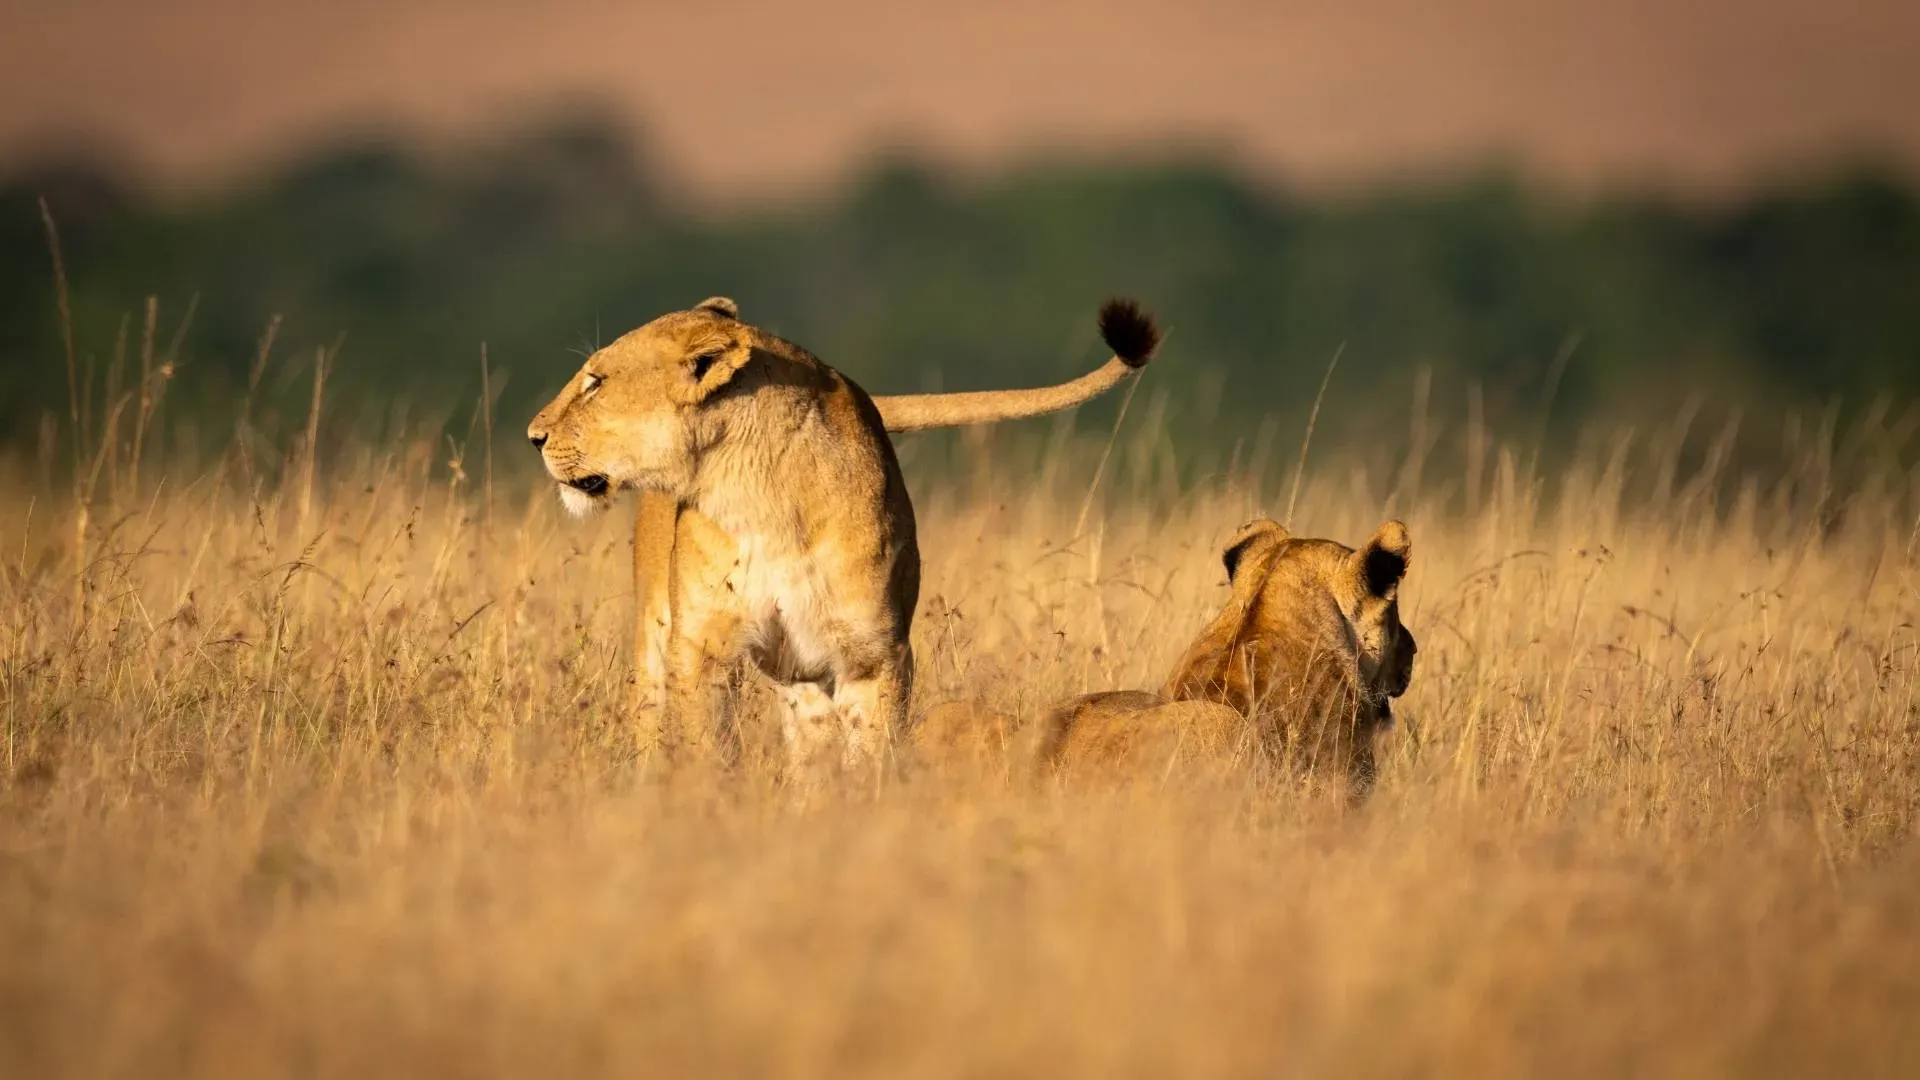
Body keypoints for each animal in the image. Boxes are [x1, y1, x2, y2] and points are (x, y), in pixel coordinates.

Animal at [527, 295, 1159, 781]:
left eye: (595, 384)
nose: (533, 436)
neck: (758, 497)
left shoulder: (871, 655)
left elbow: (869, 757)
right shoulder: (702, 648)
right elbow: (703, 744)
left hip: (803, 673)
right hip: (659, 640)